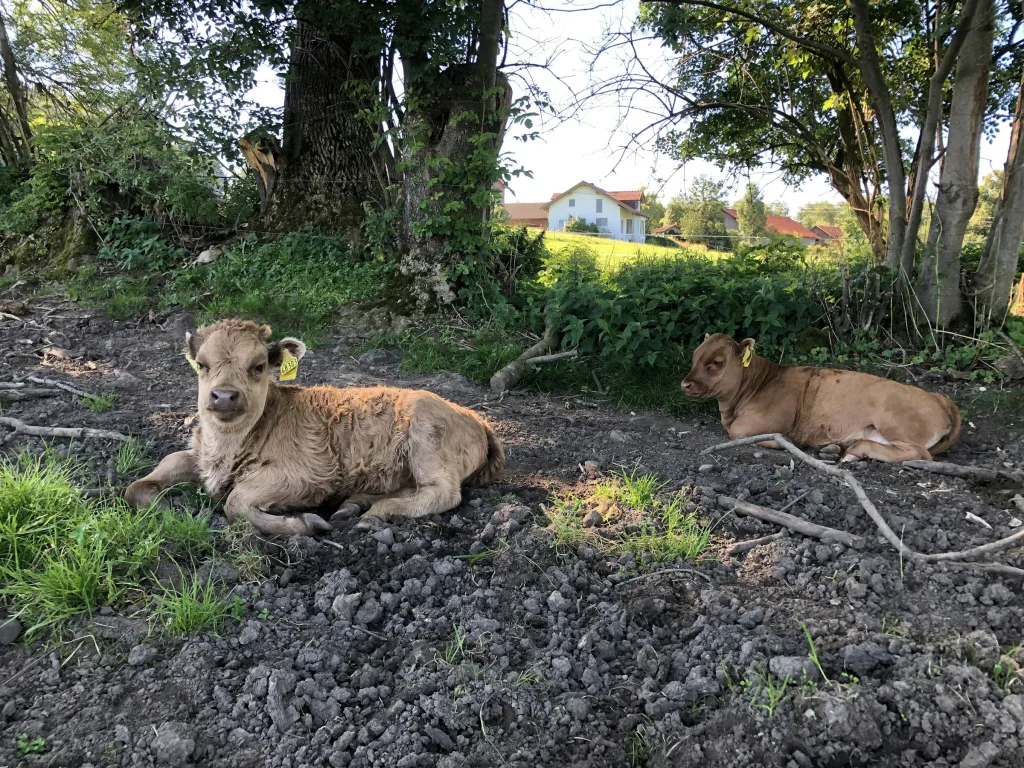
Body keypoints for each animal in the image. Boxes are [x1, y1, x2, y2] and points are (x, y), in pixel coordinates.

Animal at [125, 319, 504, 537]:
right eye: (202, 365)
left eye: (258, 366)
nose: (224, 396)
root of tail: (477, 418)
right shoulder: (199, 456)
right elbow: (147, 478)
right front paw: (163, 507)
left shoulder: (307, 475)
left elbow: (236, 502)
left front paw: (303, 523)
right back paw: (355, 504)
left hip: (426, 436)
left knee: (442, 493)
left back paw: (375, 513)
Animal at [681, 333, 961, 463]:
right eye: (694, 357)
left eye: (716, 363)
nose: (685, 383)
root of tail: (938, 397)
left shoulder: (771, 420)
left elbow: (738, 432)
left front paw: (783, 442)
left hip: (894, 420)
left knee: (919, 453)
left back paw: (854, 450)